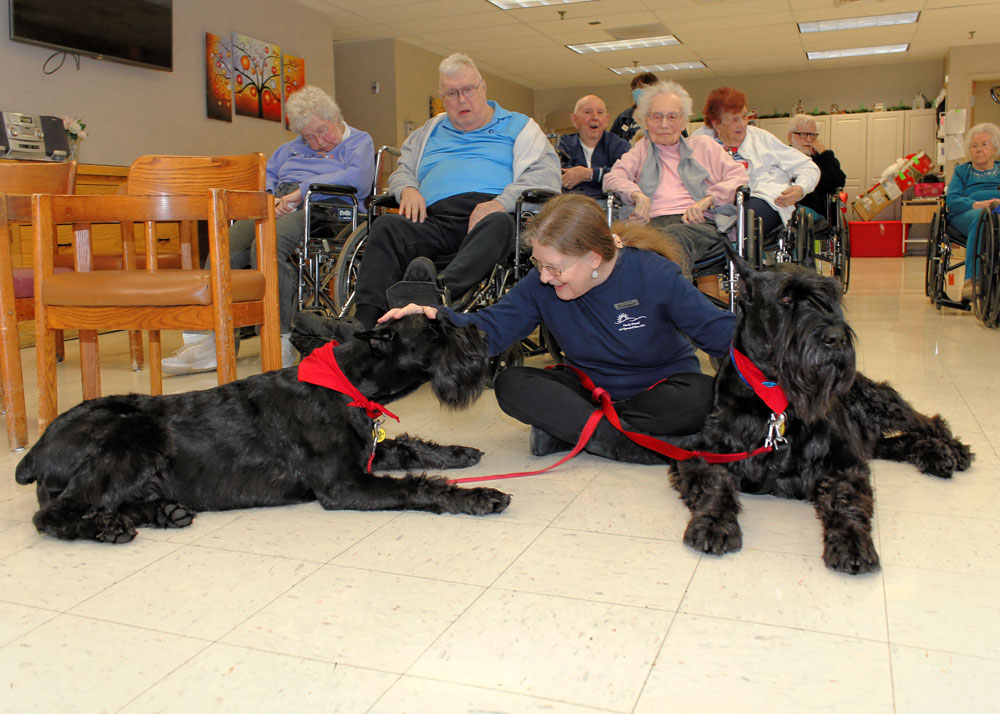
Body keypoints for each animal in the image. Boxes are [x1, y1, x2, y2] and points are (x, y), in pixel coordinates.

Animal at [16, 314, 510, 543]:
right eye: (436, 330)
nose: (485, 338)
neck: (345, 382)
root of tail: (35, 452)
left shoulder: (368, 451)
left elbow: (411, 447)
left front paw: (459, 453)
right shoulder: (345, 484)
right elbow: (417, 485)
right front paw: (478, 496)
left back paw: (163, 513)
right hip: (135, 436)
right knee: (54, 514)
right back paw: (108, 529)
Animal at [669, 255, 972, 574]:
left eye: (829, 298)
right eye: (786, 298)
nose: (836, 338)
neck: (774, 399)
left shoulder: (844, 460)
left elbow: (846, 499)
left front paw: (852, 542)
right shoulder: (699, 452)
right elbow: (715, 484)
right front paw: (714, 523)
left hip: (880, 403)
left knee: (928, 422)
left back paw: (953, 450)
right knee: (899, 442)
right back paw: (935, 455)